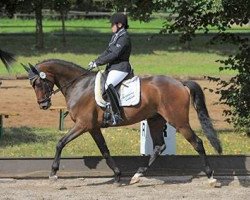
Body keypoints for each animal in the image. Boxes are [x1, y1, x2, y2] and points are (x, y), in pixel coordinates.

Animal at [23, 59, 222, 186]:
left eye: (38, 84)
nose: (43, 105)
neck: (78, 85)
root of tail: (180, 83)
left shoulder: (82, 125)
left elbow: (60, 143)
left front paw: (53, 173)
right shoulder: (93, 128)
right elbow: (104, 150)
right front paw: (118, 175)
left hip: (178, 121)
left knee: (197, 142)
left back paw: (211, 177)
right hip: (155, 120)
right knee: (159, 146)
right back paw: (137, 175)